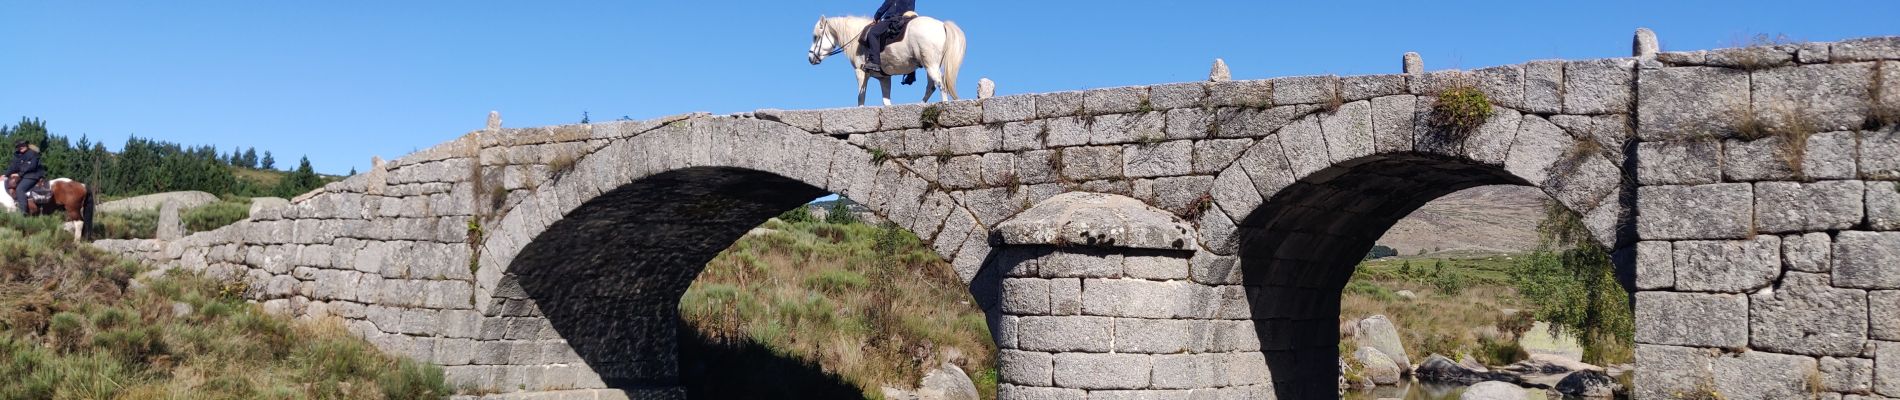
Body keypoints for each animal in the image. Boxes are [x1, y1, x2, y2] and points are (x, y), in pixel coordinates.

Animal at [809, 15, 972, 106]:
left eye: (816, 37)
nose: (810, 58)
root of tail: (942, 24)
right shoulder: (884, 78)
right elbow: (886, 101)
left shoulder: (860, 72)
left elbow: (861, 98)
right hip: (931, 65)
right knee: (931, 86)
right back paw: (920, 104)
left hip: (931, 65)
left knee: (940, 85)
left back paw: (943, 105)